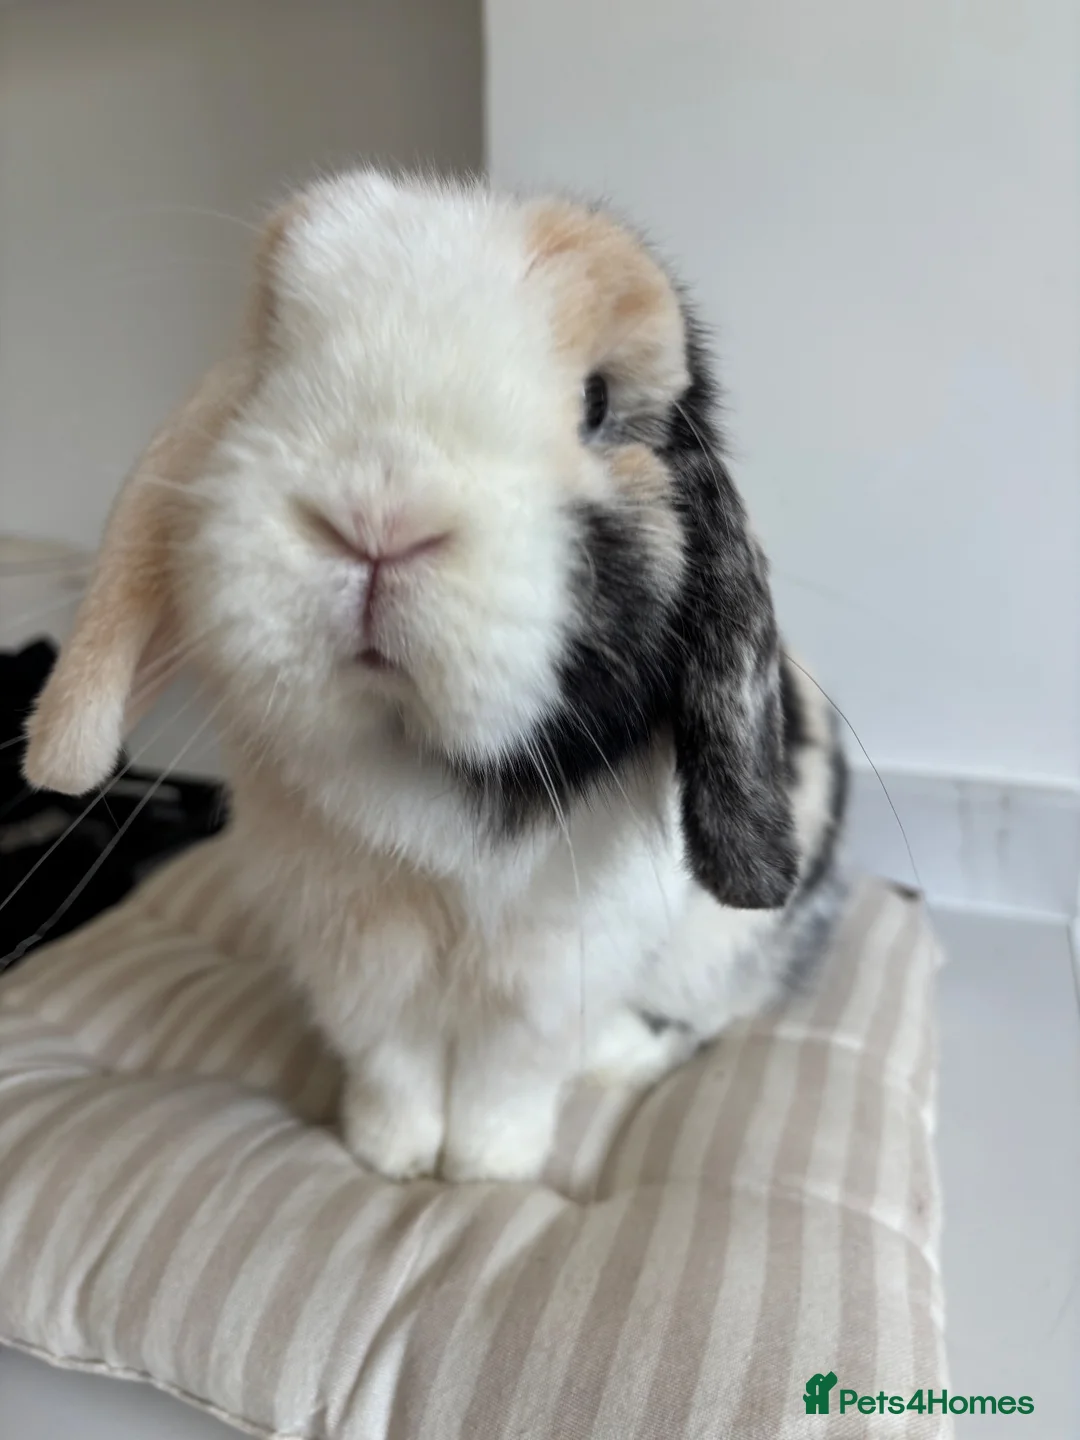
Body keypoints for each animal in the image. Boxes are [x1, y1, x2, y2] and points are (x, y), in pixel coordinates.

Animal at [23, 170, 847, 1184]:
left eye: (597, 404)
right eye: (269, 367)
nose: (376, 518)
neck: (413, 763)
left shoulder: (555, 965)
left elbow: (509, 1068)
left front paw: (488, 1167)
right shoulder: (354, 955)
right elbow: (392, 1056)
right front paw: (392, 1154)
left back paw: (616, 1059)